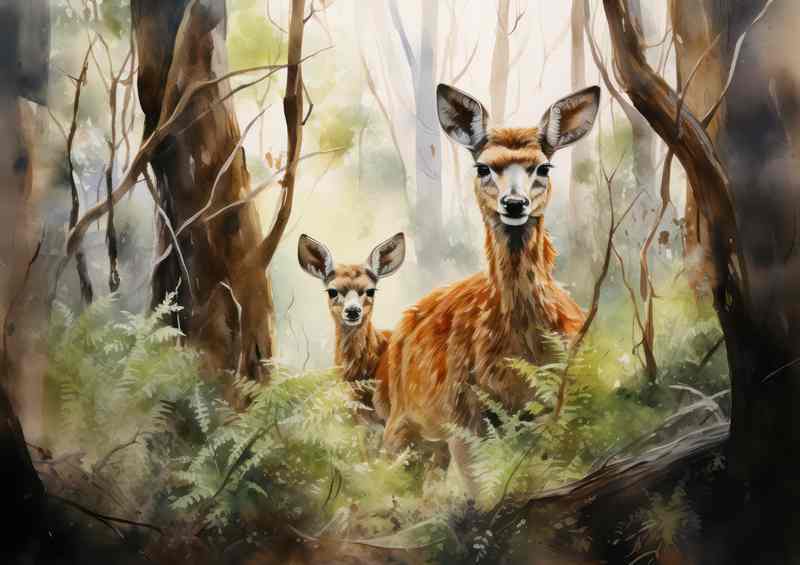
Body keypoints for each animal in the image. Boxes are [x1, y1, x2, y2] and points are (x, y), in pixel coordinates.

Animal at [374, 84, 600, 494]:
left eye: (543, 166)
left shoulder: (560, 402)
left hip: (432, 442)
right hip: (403, 423)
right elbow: (482, 491)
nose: (514, 203)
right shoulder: (463, 414)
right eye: (483, 167)